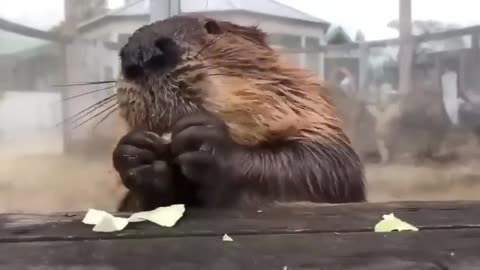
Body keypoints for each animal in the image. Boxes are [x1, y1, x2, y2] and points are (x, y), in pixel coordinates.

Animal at [112, 15, 368, 211]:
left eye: (211, 26)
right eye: (123, 53)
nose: (141, 52)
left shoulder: (315, 116)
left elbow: (328, 165)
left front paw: (205, 140)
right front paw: (135, 152)